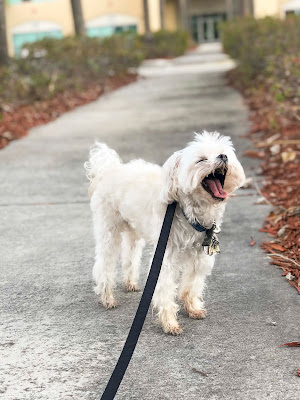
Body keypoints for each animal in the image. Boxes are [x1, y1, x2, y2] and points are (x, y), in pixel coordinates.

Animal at [84, 131, 244, 334]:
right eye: (201, 160)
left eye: (224, 153)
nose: (223, 157)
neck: (187, 210)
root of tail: (108, 169)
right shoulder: (165, 257)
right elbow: (166, 288)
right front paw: (169, 322)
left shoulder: (199, 256)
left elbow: (192, 284)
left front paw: (192, 307)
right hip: (108, 230)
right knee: (104, 264)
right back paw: (107, 297)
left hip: (133, 230)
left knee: (130, 256)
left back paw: (130, 283)